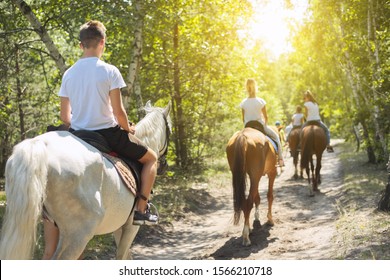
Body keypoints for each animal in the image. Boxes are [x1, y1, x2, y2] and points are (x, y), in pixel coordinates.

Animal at [0, 100, 171, 258]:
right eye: (169, 129)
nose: (163, 165)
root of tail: (40, 144)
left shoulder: (118, 226)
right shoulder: (131, 226)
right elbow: (122, 256)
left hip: (53, 226)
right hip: (79, 234)